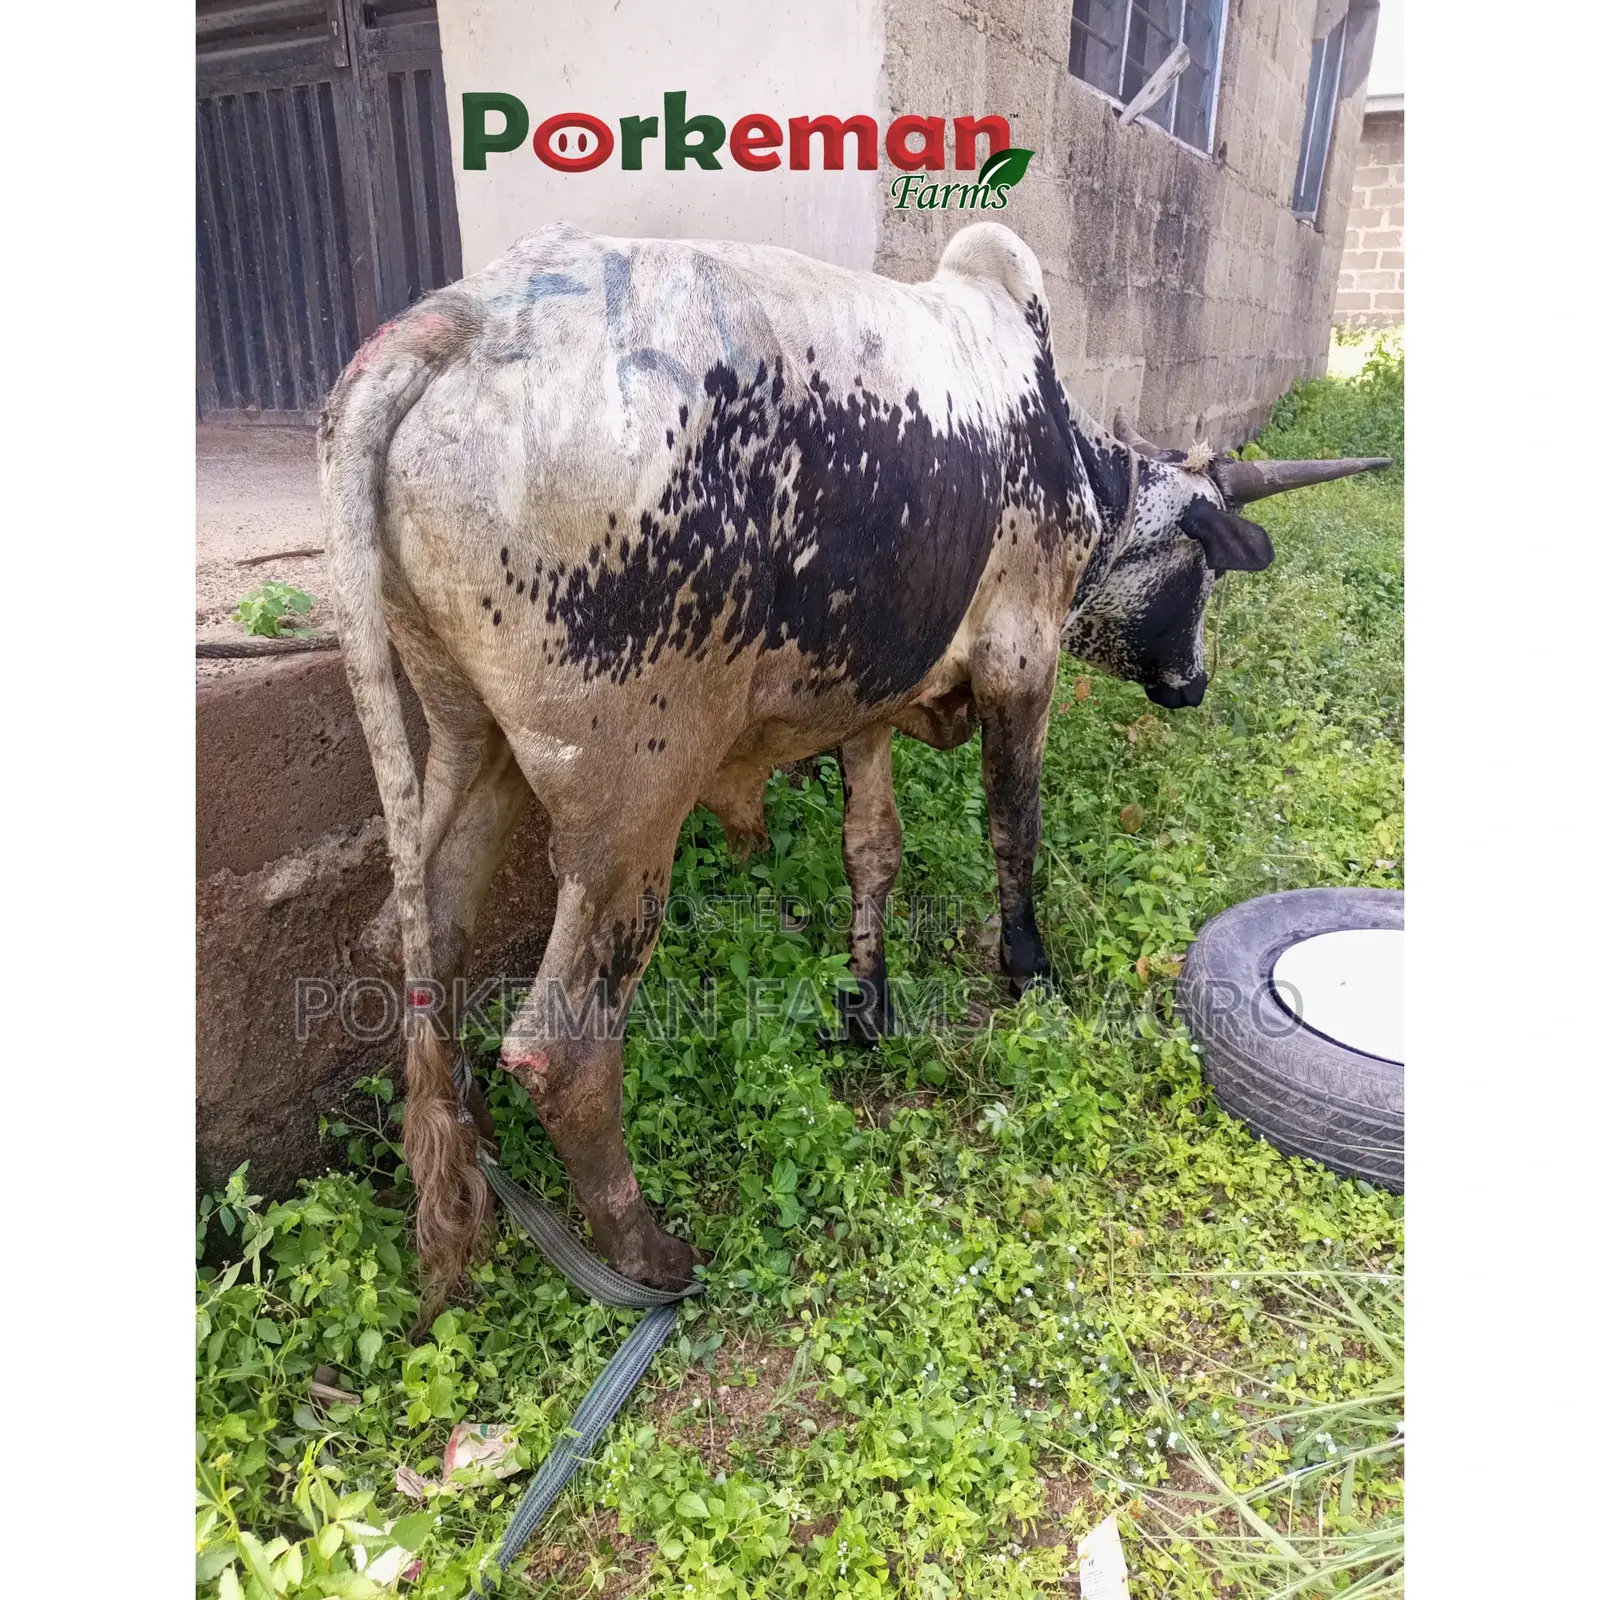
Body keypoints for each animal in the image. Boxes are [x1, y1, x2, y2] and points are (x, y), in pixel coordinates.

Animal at [319, 220, 1387, 1309]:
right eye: (1202, 563)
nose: (1192, 684)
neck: (1072, 452)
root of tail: (455, 325)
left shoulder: (873, 696)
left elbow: (873, 847)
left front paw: (866, 1005)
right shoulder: (1021, 658)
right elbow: (1014, 826)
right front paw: (1030, 972)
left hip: (470, 741)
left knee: (428, 943)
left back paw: (478, 1139)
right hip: (634, 794)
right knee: (563, 1044)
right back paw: (649, 1253)